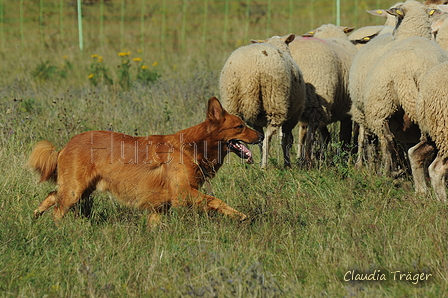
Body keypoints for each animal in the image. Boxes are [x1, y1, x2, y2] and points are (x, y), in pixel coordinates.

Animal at [28, 96, 260, 225]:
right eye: (240, 126)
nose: (261, 136)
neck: (194, 146)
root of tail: (66, 145)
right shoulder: (183, 194)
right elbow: (216, 200)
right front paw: (239, 215)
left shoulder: (159, 207)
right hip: (75, 190)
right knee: (58, 209)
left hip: (81, 188)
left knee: (52, 195)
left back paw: (36, 215)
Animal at [219, 33, 306, 168]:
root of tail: (251, 75)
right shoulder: (291, 119)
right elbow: (286, 141)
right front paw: (287, 164)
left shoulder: (256, 122)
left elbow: (258, 139)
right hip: (275, 102)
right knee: (267, 139)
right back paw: (264, 166)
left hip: (232, 103)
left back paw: (247, 161)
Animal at [288, 24, 358, 164]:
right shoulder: (344, 109)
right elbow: (344, 136)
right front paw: (343, 157)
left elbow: (327, 135)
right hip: (316, 102)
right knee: (310, 136)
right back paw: (307, 162)